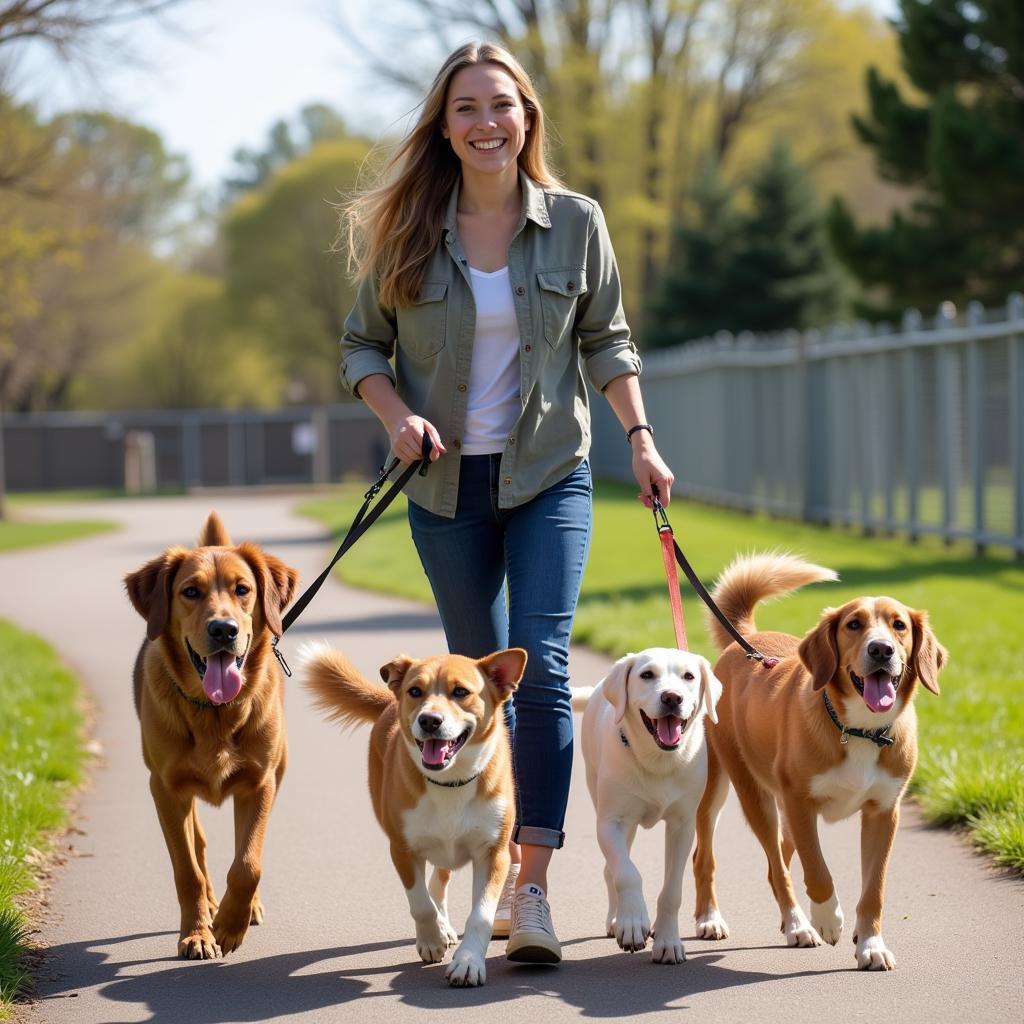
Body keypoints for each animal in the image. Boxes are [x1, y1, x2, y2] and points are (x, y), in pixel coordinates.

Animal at [124, 512, 299, 958]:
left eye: (243, 590)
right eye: (190, 591)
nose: (224, 630)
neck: (215, 712)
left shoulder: (261, 782)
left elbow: (248, 862)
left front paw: (231, 924)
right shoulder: (165, 789)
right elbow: (187, 871)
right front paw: (198, 933)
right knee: (198, 848)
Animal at [299, 643, 524, 987]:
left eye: (461, 691)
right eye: (415, 691)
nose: (429, 720)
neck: (450, 781)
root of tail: (388, 703)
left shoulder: (493, 853)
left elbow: (480, 915)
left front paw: (468, 962)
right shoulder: (402, 848)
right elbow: (420, 903)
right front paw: (431, 939)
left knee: (440, 878)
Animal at [573, 651, 724, 962]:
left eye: (689, 676)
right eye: (646, 675)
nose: (672, 697)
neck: (658, 761)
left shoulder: (682, 827)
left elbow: (672, 891)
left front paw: (667, 941)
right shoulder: (611, 823)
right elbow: (628, 873)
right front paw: (632, 923)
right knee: (612, 870)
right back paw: (617, 919)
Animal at [692, 552, 946, 966]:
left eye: (899, 625)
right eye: (854, 624)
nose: (881, 650)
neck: (859, 729)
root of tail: (746, 645)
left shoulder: (882, 813)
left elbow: (874, 888)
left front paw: (871, 944)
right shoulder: (800, 803)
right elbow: (817, 872)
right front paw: (829, 920)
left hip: (781, 814)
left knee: (776, 864)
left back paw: (791, 921)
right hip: (740, 793)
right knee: (717, 858)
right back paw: (736, 921)